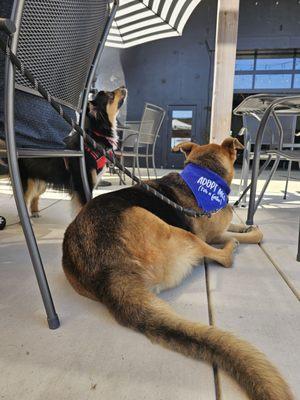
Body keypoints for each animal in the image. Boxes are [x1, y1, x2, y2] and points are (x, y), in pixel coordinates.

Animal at [0, 85, 126, 216]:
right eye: (110, 95)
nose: (123, 86)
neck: (95, 137)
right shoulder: (82, 184)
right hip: (27, 181)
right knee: (25, 199)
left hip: (41, 180)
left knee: (34, 196)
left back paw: (34, 212)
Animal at [61, 138, 292, 400]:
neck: (205, 171)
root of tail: (108, 271)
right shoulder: (213, 236)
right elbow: (248, 235)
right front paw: (248, 233)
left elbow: (237, 225)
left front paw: (246, 225)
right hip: (183, 234)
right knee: (222, 258)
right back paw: (230, 249)